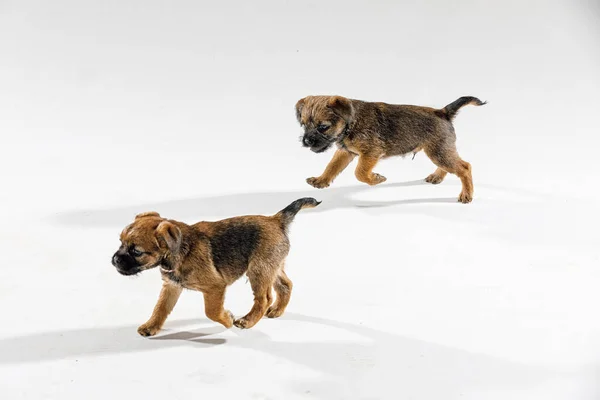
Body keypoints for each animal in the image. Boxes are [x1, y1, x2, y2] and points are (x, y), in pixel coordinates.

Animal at [110, 198, 322, 336]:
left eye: (137, 251)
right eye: (120, 242)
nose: (114, 260)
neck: (179, 251)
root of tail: (276, 219)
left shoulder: (215, 287)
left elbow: (211, 311)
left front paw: (227, 319)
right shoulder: (171, 286)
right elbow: (160, 308)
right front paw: (151, 326)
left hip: (259, 271)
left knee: (264, 298)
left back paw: (248, 321)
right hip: (273, 266)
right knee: (285, 285)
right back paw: (277, 310)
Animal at [296, 94, 488, 203]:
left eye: (323, 127)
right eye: (303, 125)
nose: (306, 141)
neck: (351, 121)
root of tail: (443, 112)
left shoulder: (370, 153)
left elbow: (360, 172)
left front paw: (376, 179)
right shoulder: (345, 152)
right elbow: (332, 166)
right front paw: (321, 180)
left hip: (438, 151)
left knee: (464, 167)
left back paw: (466, 195)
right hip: (438, 150)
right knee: (451, 164)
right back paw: (437, 176)